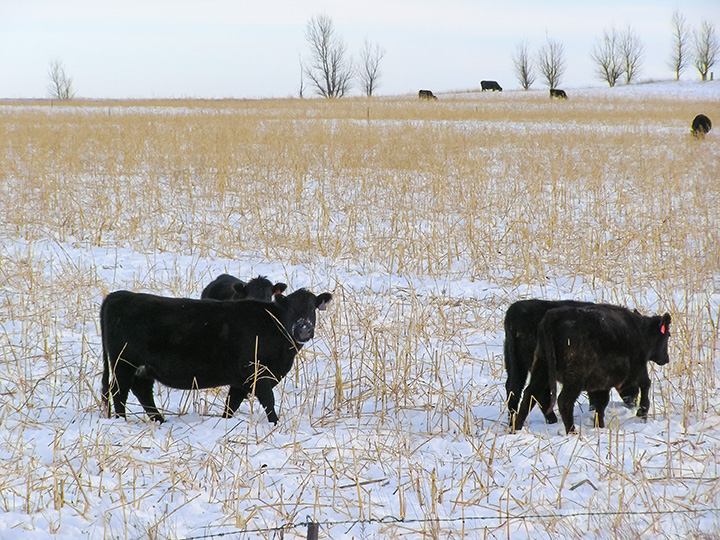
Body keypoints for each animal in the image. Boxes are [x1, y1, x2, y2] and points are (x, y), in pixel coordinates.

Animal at [100, 288, 332, 424]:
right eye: (291, 308)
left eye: (312, 308)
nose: (304, 329)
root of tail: (118, 295)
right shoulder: (256, 371)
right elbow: (268, 400)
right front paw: (274, 424)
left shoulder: (241, 380)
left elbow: (231, 404)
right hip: (124, 364)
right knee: (119, 392)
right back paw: (122, 421)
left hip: (142, 369)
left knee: (142, 392)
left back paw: (159, 420)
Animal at [513, 304, 671, 434]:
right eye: (668, 335)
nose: (666, 359)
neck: (641, 332)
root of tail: (553, 317)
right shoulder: (638, 369)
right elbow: (646, 384)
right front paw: (642, 413)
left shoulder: (602, 383)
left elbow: (600, 404)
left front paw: (599, 426)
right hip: (574, 378)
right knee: (564, 401)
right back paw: (572, 432)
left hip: (541, 368)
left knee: (529, 394)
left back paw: (516, 429)